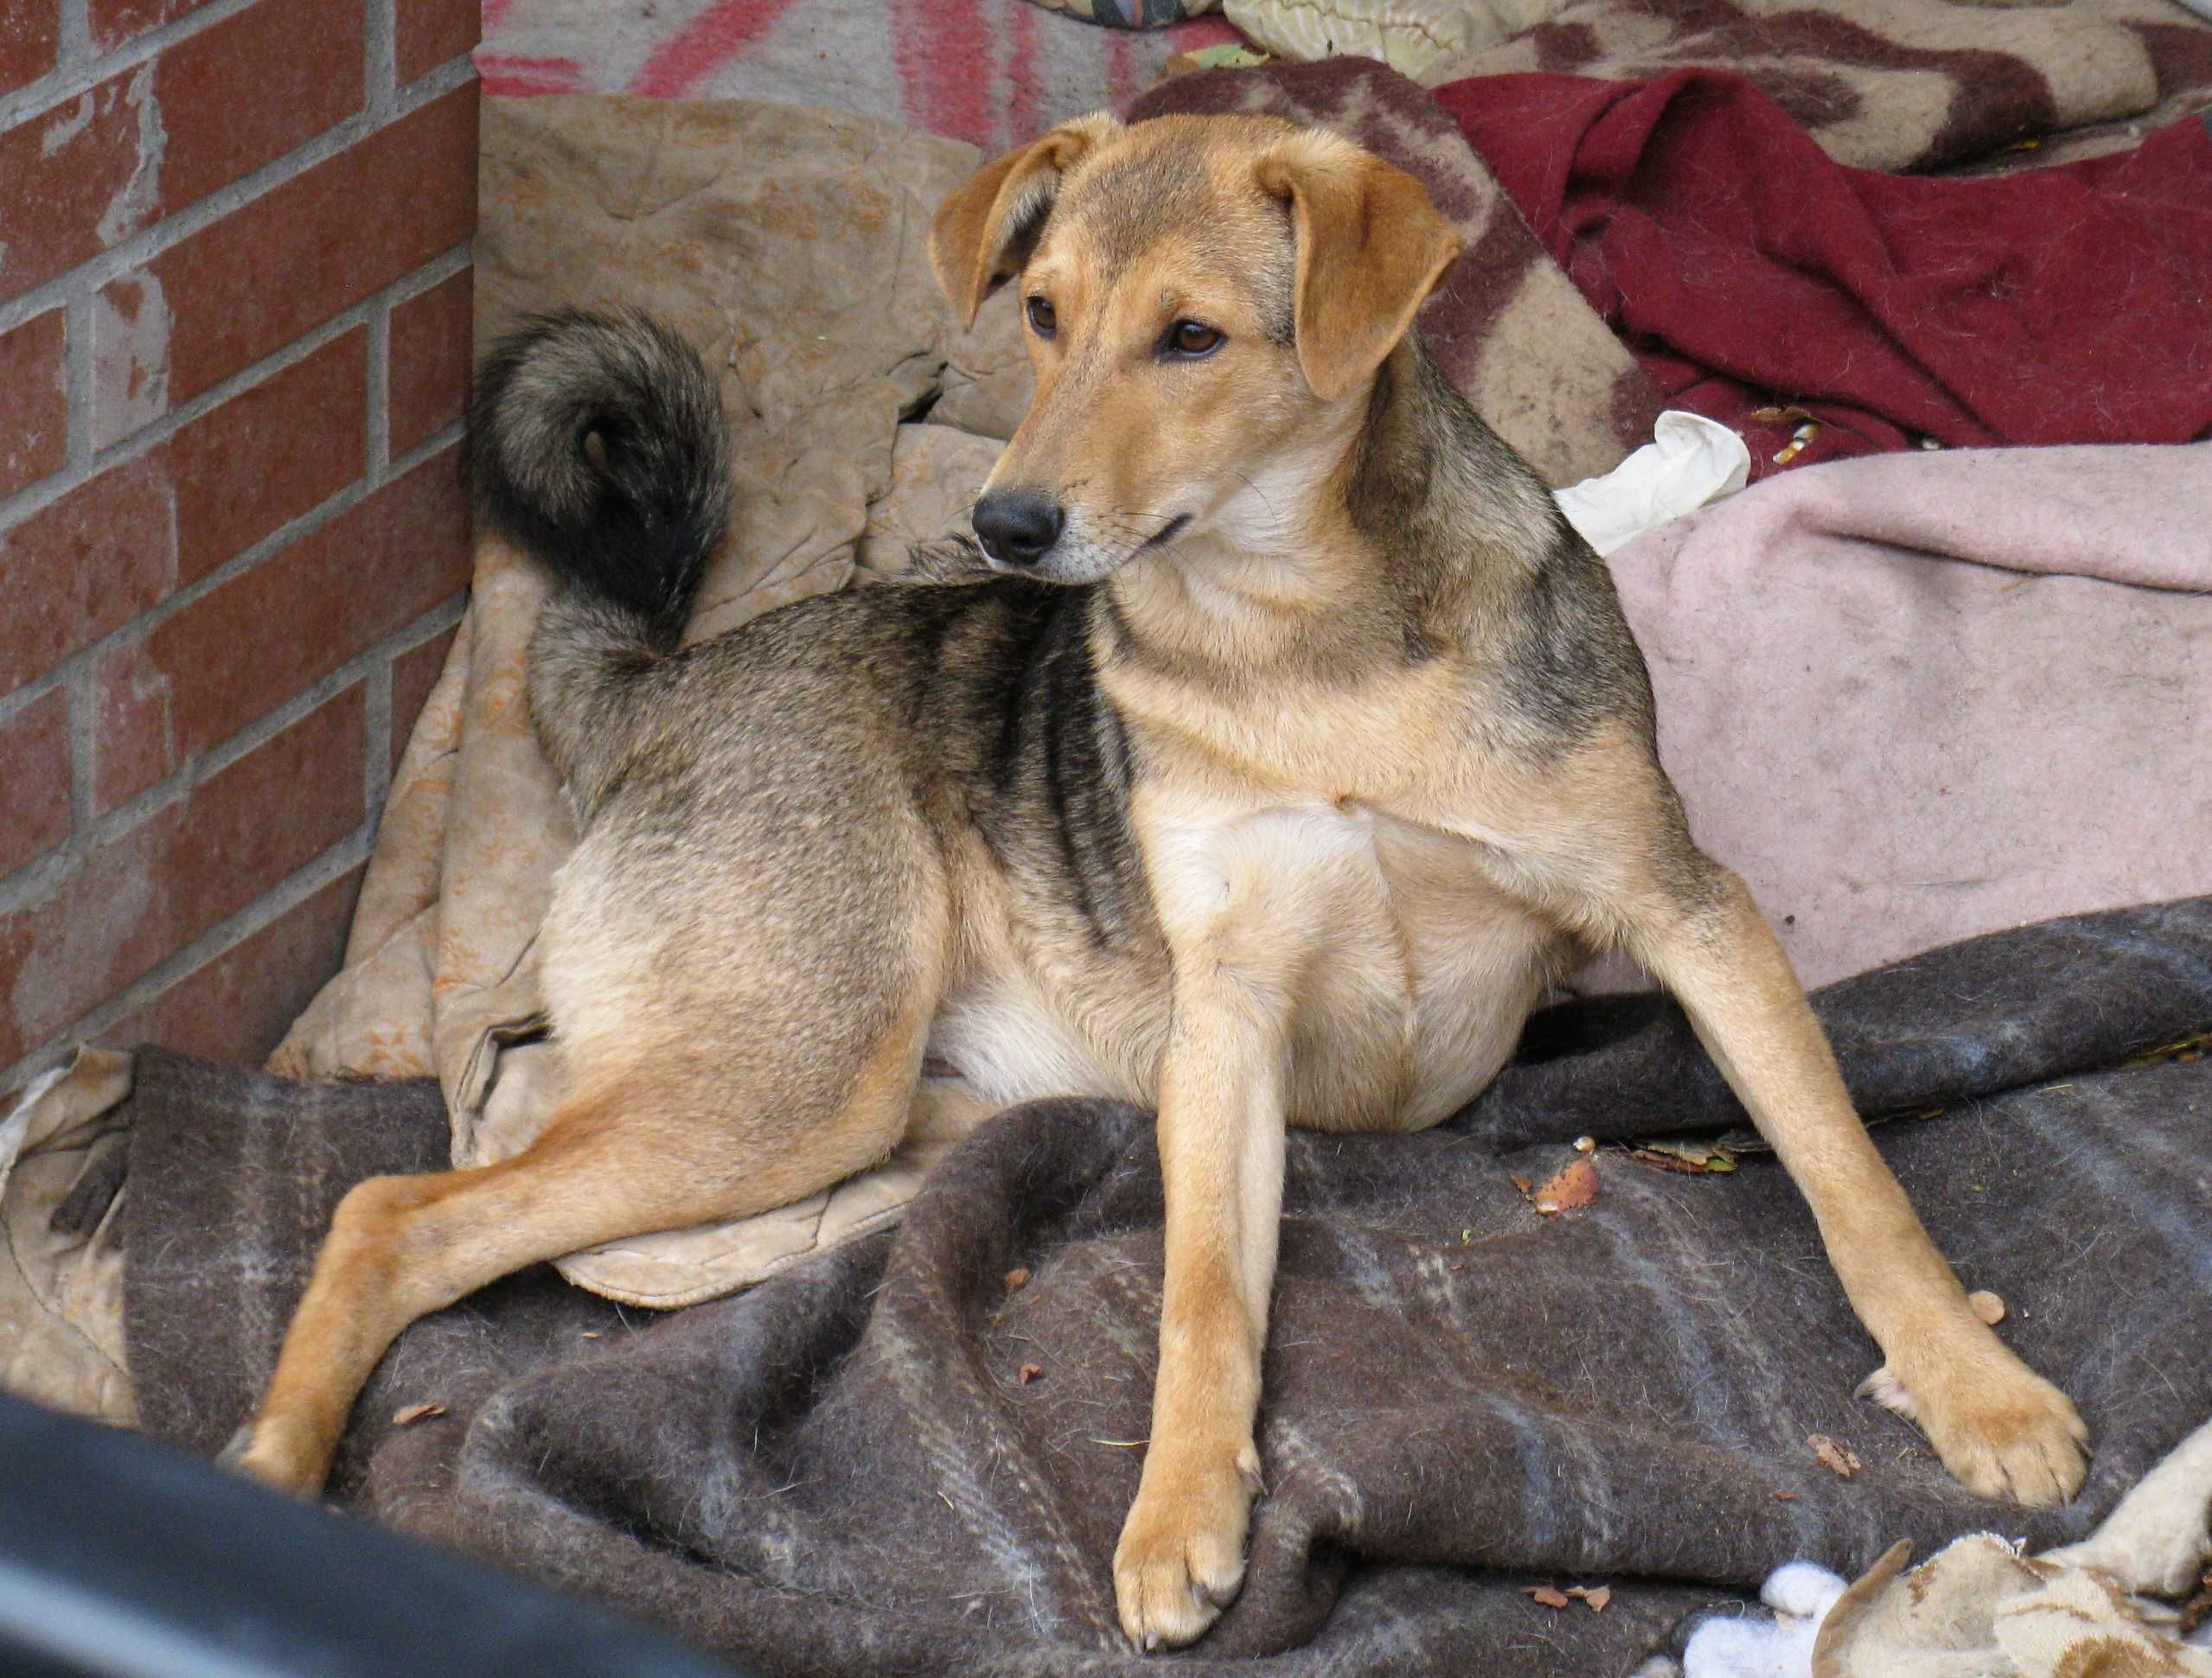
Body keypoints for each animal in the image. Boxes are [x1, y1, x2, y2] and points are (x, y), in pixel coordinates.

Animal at [233, 114, 2079, 1653]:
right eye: (1041, 315)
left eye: (1190, 337)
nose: (1005, 526)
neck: (1299, 638)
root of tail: (672, 686)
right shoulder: (1228, 1020)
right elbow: (1201, 1291)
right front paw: (1179, 1511)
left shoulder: (1688, 908)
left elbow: (1848, 1175)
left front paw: (1974, 1390)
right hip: (797, 1074)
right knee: (393, 1208)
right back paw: (266, 1463)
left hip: (857, 1098)